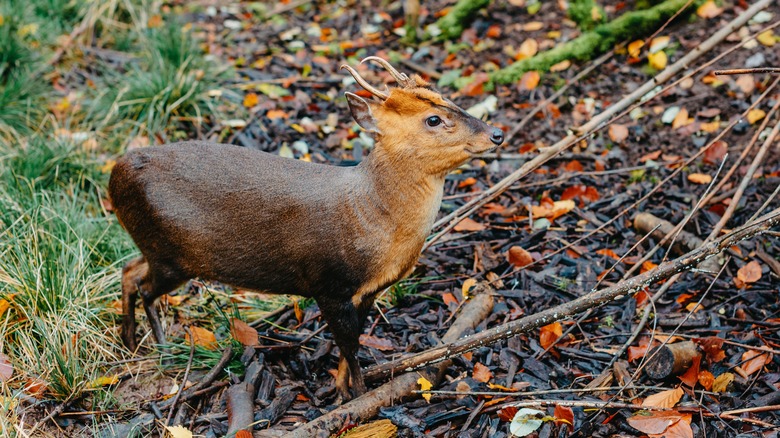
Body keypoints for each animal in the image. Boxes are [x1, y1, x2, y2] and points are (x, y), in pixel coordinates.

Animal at [109, 57, 506, 400]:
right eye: (433, 119)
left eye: (447, 98)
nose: (497, 133)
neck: (372, 216)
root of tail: (115, 172)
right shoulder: (328, 283)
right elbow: (349, 343)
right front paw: (358, 395)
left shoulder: (368, 291)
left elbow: (353, 341)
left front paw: (342, 386)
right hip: (171, 253)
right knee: (144, 287)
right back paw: (160, 345)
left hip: (156, 249)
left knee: (128, 270)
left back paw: (130, 341)